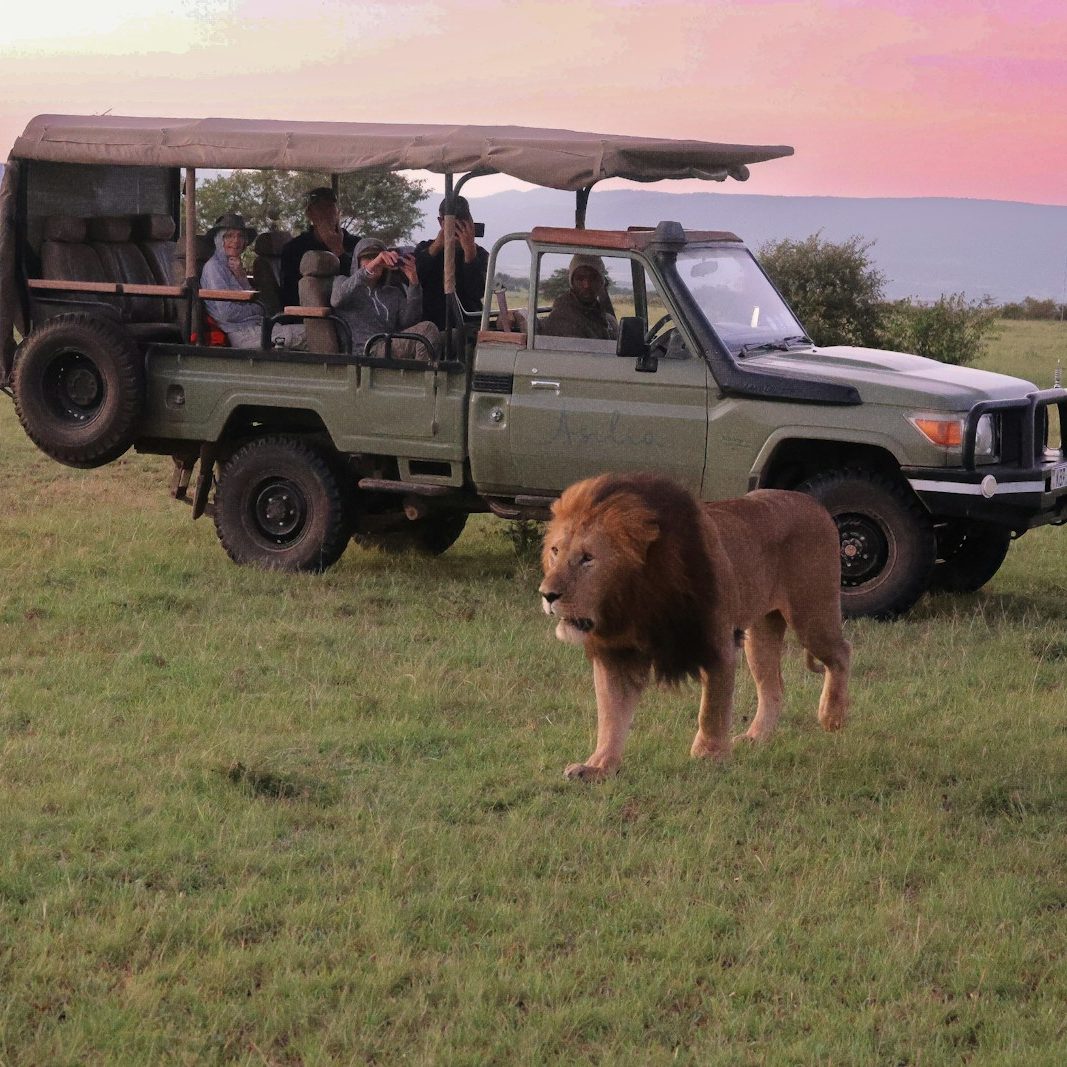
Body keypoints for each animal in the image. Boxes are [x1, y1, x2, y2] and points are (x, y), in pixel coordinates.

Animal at [537, 471, 853, 781]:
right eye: (555, 551)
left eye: (587, 558)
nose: (547, 594)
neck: (633, 602)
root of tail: (812, 503)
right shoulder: (616, 653)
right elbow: (611, 714)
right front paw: (599, 766)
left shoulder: (718, 643)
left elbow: (712, 708)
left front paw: (709, 756)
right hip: (761, 634)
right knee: (773, 686)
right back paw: (756, 738)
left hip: (811, 615)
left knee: (842, 652)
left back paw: (832, 717)